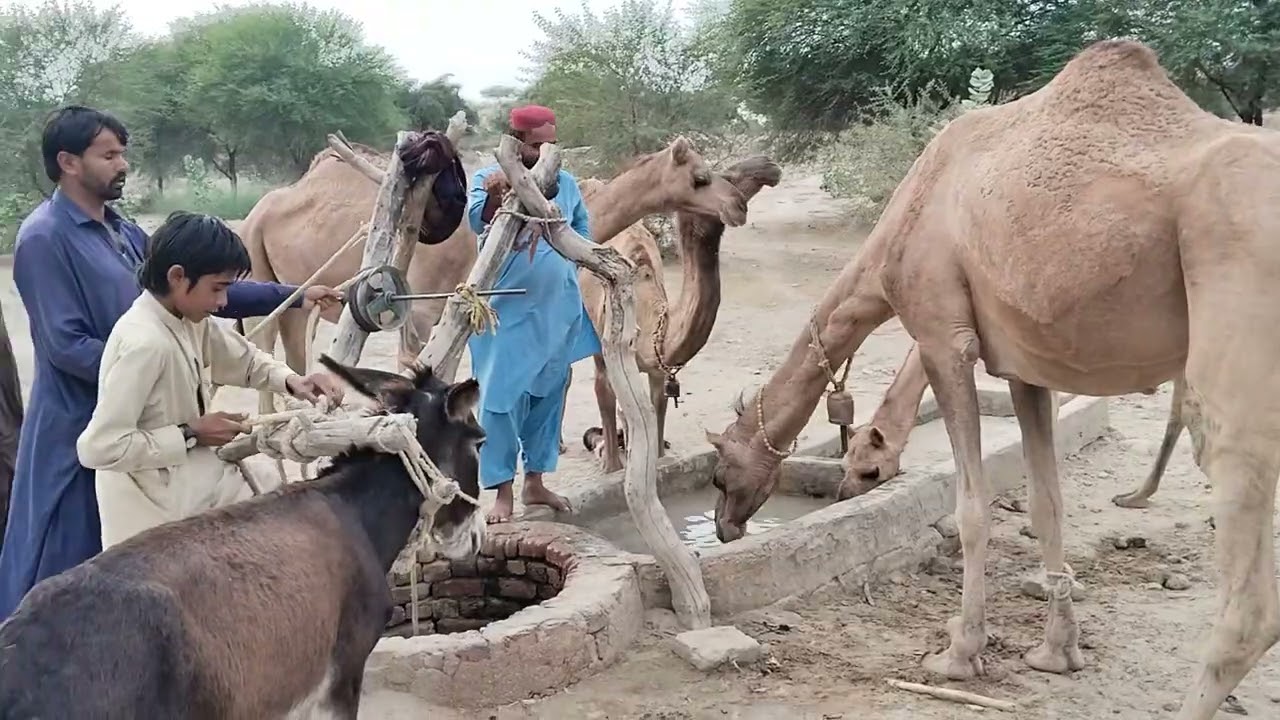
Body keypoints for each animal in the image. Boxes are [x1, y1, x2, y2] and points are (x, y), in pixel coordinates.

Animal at [579, 156, 783, 473]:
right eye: (721, 176)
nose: (769, 166)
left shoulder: (658, 370)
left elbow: (656, 409)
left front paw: (657, 454)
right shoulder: (606, 349)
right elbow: (607, 396)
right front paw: (612, 466)